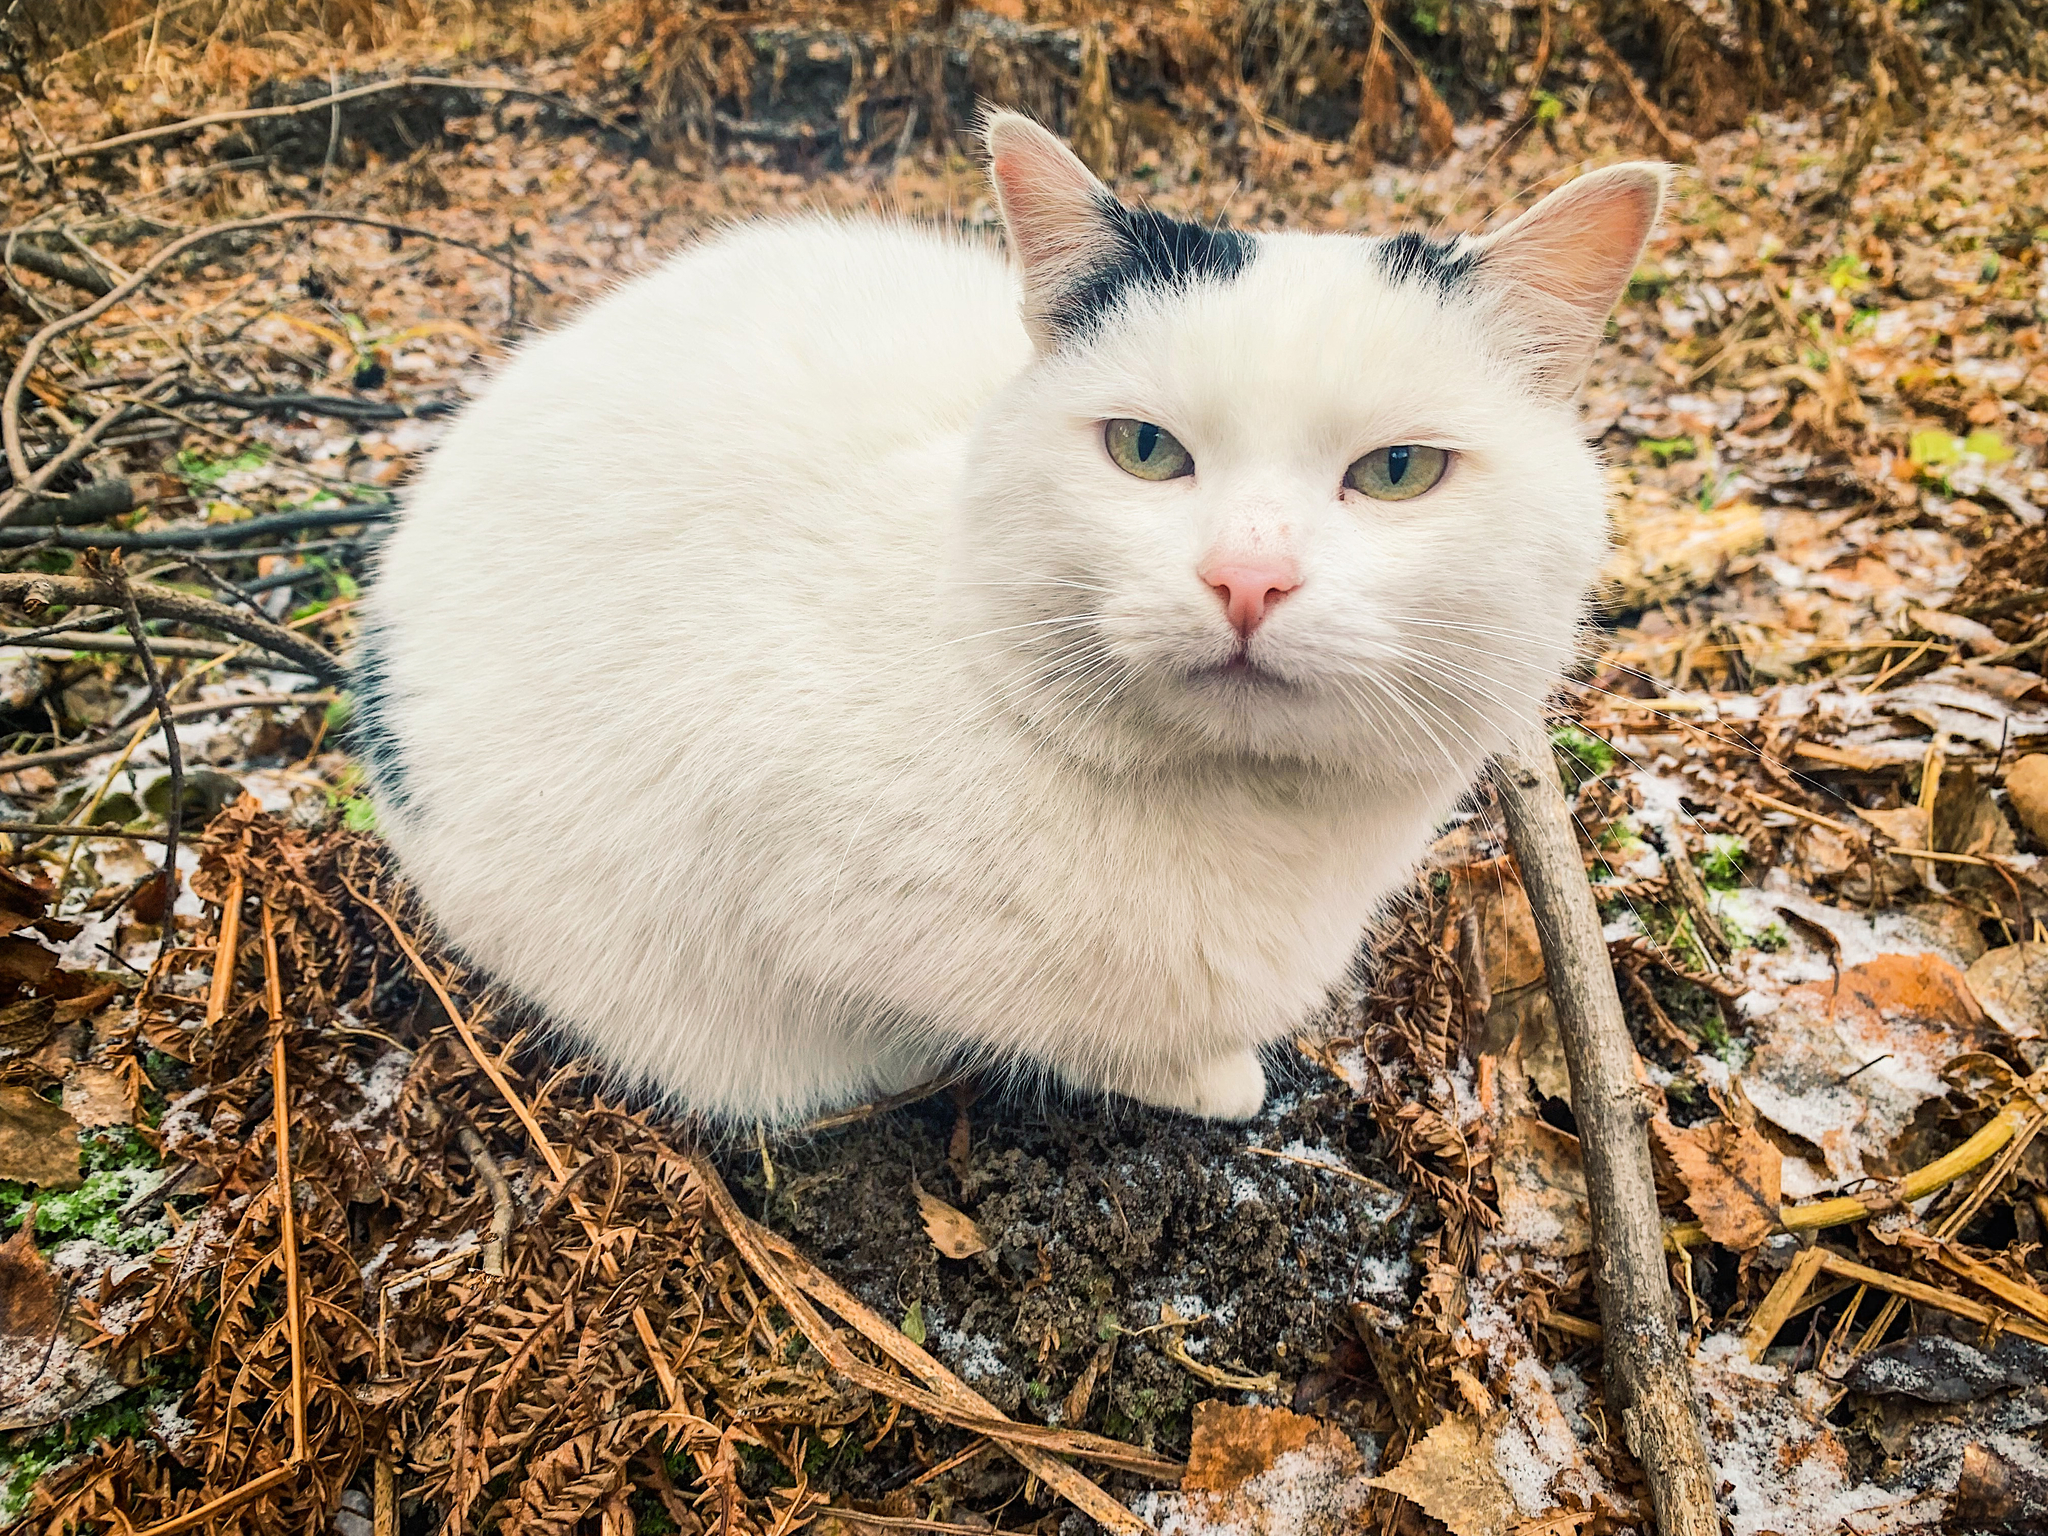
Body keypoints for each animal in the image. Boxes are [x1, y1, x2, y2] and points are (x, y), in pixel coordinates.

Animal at [356, 114, 1662, 1122]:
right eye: (1144, 450)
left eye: (1396, 471)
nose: (1245, 578)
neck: (1244, 822)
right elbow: (1055, 1034)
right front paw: (1207, 1076)